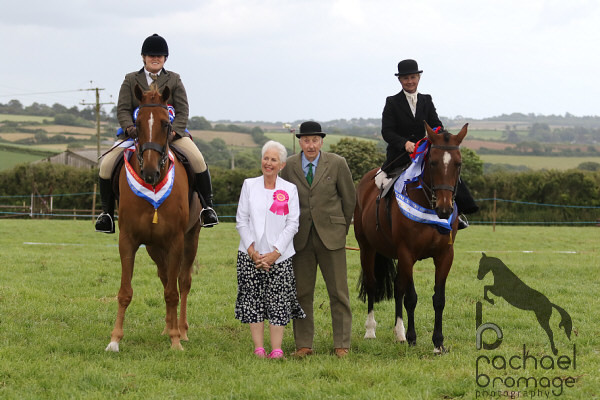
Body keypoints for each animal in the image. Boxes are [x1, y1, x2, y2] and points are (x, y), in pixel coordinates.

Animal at [105, 83, 202, 350]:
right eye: (136, 124)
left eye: (166, 124)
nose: (150, 172)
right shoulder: (128, 240)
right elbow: (125, 292)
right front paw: (114, 339)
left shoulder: (177, 240)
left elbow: (173, 292)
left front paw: (176, 342)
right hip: (154, 246)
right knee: (165, 276)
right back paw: (168, 327)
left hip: (191, 238)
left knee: (182, 282)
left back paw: (181, 330)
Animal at [356, 122, 468, 354]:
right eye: (433, 162)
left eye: (458, 164)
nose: (444, 209)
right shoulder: (407, 254)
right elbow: (412, 298)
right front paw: (413, 338)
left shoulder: (445, 255)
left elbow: (438, 299)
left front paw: (438, 343)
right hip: (367, 248)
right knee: (372, 284)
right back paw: (371, 330)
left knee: (398, 287)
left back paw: (399, 333)